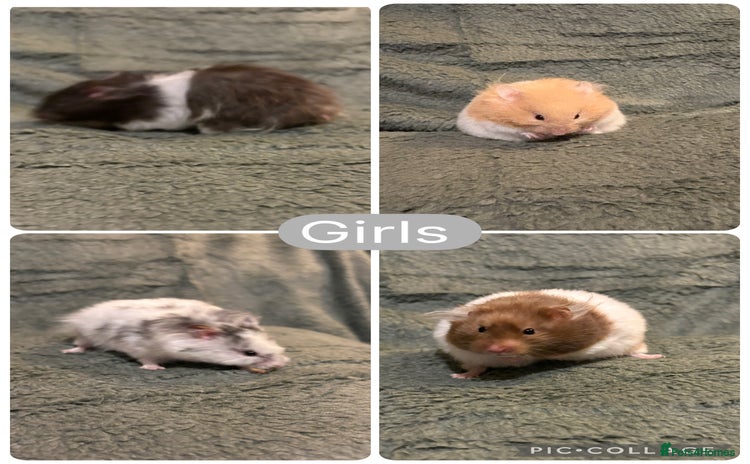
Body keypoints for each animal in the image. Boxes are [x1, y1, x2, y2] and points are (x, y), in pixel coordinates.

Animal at [60, 298, 289, 372]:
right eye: (249, 353)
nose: (282, 364)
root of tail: (81, 315)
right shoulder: (143, 348)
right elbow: (147, 360)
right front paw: (156, 369)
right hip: (85, 332)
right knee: (80, 343)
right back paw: (69, 351)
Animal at [428, 289, 662, 379]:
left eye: (529, 331)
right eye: (481, 329)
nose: (496, 349)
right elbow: (478, 364)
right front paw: (460, 375)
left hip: (631, 339)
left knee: (637, 350)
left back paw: (656, 356)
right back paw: (461, 376)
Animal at [456, 78, 626, 141]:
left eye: (577, 116)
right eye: (539, 117)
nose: (561, 133)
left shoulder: (611, 116)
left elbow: (595, 126)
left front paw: (587, 127)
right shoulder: (493, 124)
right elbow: (519, 131)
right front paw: (533, 135)